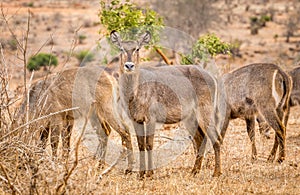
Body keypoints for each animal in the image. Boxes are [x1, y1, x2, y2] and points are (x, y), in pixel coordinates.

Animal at [110, 30, 223, 178]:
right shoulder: (137, 120)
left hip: (205, 113)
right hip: (190, 119)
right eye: (121, 48)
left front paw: (149, 173)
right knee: (200, 139)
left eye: (137, 48)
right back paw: (194, 171)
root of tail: (212, 77)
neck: (134, 91)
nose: (129, 65)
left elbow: (149, 144)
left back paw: (216, 173)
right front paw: (140, 174)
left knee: (216, 139)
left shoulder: (151, 118)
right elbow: (140, 145)